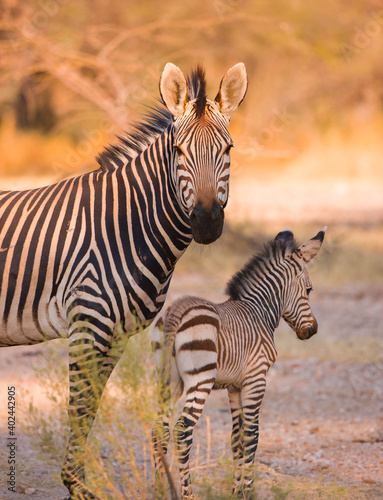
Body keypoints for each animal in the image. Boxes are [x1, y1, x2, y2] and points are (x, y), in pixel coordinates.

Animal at [0, 62, 249, 500]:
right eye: (178, 152)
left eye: (229, 150)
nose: (206, 221)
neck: (126, 225)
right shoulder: (88, 324)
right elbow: (80, 407)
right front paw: (76, 486)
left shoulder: (115, 335)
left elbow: (92, 406)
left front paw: (77, 484)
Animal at [153, 228, 328, 500]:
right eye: (309, 290)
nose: (313, 330)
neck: (259, 311)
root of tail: (176, 312)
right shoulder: (257, 378)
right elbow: (251, 436)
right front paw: (248, 491)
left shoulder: (234, 386)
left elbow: (236, 438)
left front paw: (236, 490)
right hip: (200, 380)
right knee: (182, 431)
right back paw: (187, 493)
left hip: (167, 380)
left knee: (159, 429)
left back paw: (160, 489)